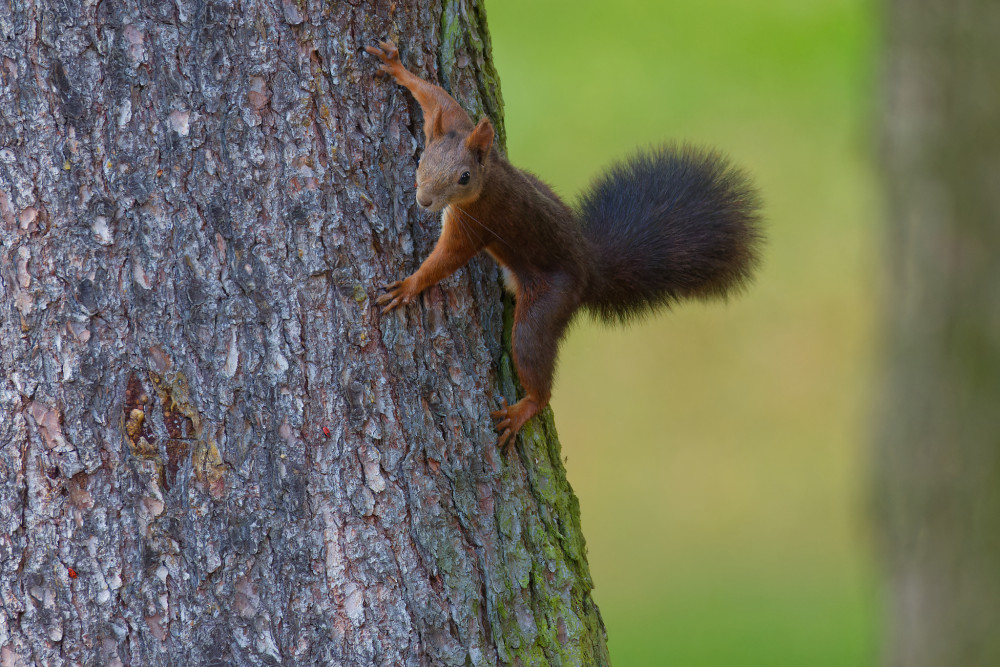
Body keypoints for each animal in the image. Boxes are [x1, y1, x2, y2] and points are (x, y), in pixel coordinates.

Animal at [368, 40, 764, 448]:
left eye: (463, 177)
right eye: (423, 160)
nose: (425, 201)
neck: (488, 174)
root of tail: (590, 270)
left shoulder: (478, 221)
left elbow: (449, 258)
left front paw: (410, 285)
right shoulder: (456, 126)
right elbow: (440, 102)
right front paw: (397, 68)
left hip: (547, 305)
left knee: (534, 362)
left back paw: (524, 408)